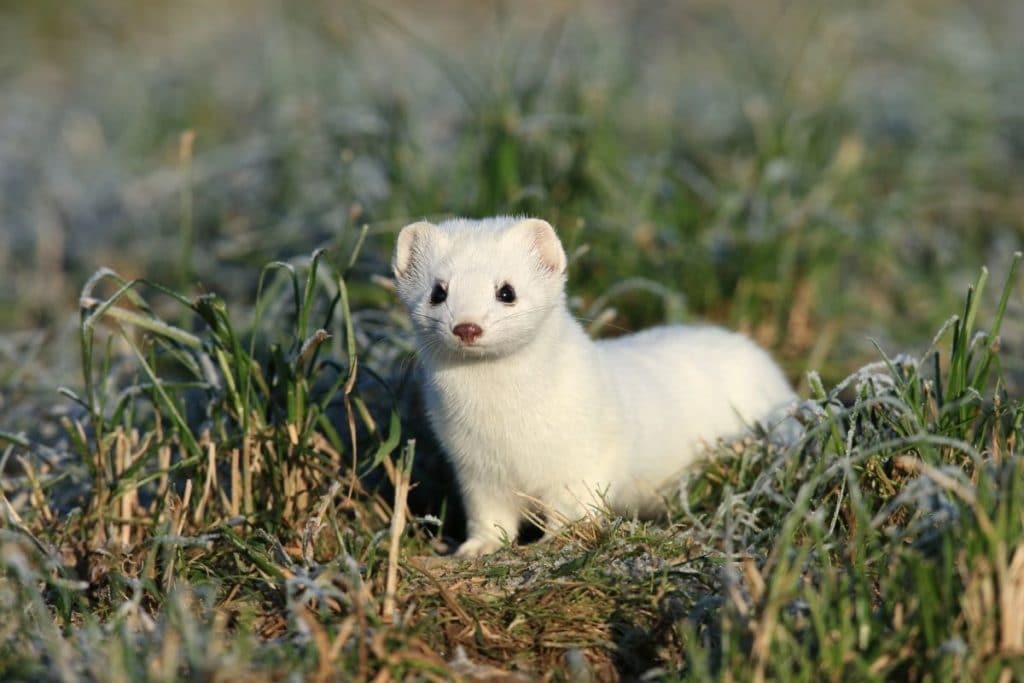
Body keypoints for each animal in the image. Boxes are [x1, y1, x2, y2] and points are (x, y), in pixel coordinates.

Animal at [391, 216, 798, 557]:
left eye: (506, 291)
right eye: (438, 292)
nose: (467, 327)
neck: (505, 430)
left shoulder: (586, 457)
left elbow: (573, 507)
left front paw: (557, 540)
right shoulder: (474, 469)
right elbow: (489, 516)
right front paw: (477, 548)